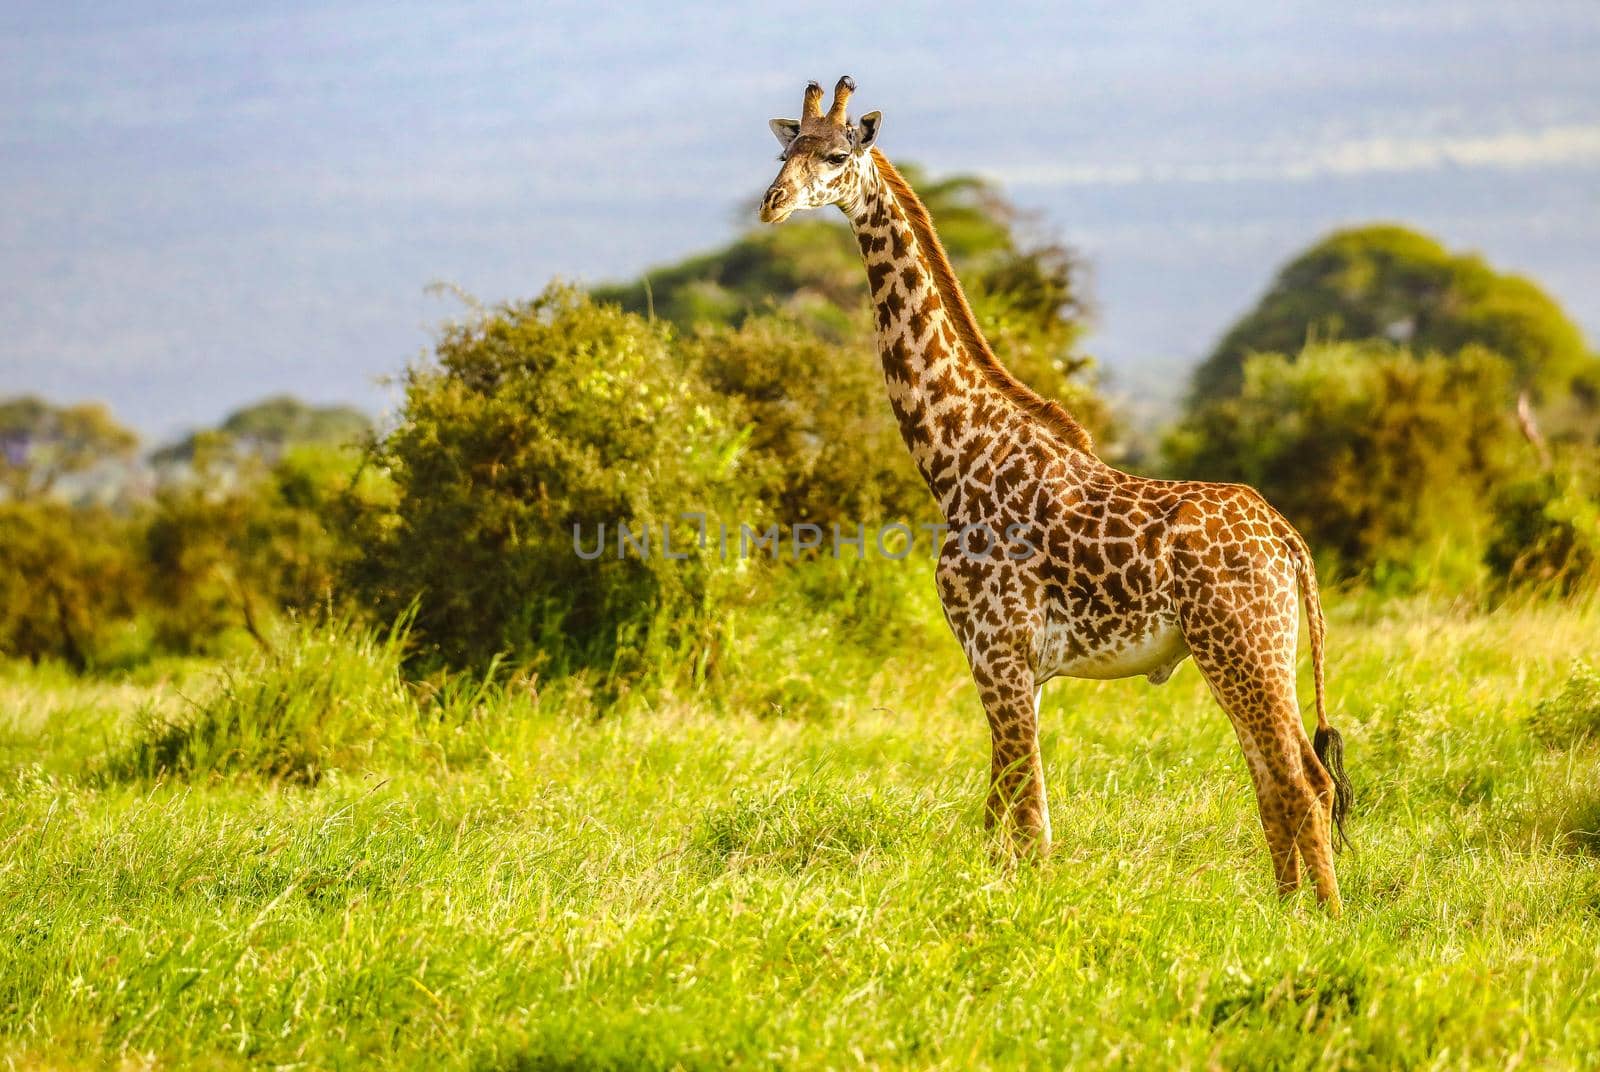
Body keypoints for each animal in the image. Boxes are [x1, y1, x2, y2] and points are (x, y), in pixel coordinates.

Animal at [758, 77, 1350, 915]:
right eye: (784, 152)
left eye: (837, 155)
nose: (772, 203)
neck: (958, 456)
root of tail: (1290, 544)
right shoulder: (1014, 667)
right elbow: (1002, 815)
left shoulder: (998, 651)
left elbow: (1028, 819)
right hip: (1246, 651)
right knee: (1277, 779)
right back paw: (1289, 913)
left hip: (1243, 646)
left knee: (1305, 781)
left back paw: (1324, 921)